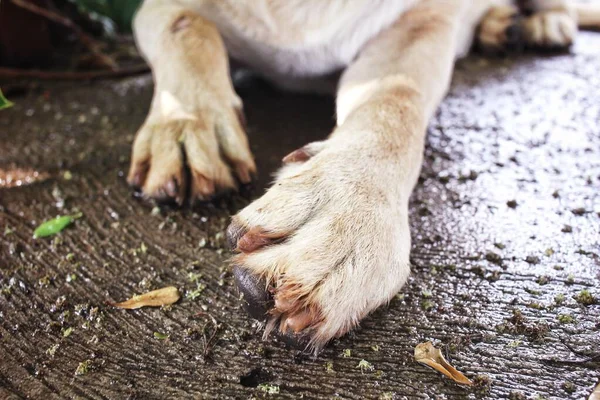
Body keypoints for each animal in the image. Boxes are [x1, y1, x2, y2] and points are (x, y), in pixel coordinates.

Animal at [127, 0, 600, 350]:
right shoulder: (159, 10)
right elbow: (185, 28)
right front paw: (187, 123)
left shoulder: (417, 25)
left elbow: (395, 99)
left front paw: (351, 212)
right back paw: (500, 25)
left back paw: (540, 22)